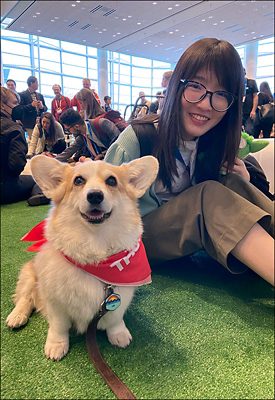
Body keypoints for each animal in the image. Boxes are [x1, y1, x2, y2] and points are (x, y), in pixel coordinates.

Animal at [5, 155, 158, 360]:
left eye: (112, 181)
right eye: (78, 181)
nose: (95, 195)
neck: (95, 247)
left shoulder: (119, 297)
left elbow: (115, 319)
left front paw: (119, 335)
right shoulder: (55, 303)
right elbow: (59, 327)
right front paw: (56, 345)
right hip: (30, 274)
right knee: (25, 297)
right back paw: (17, 316)